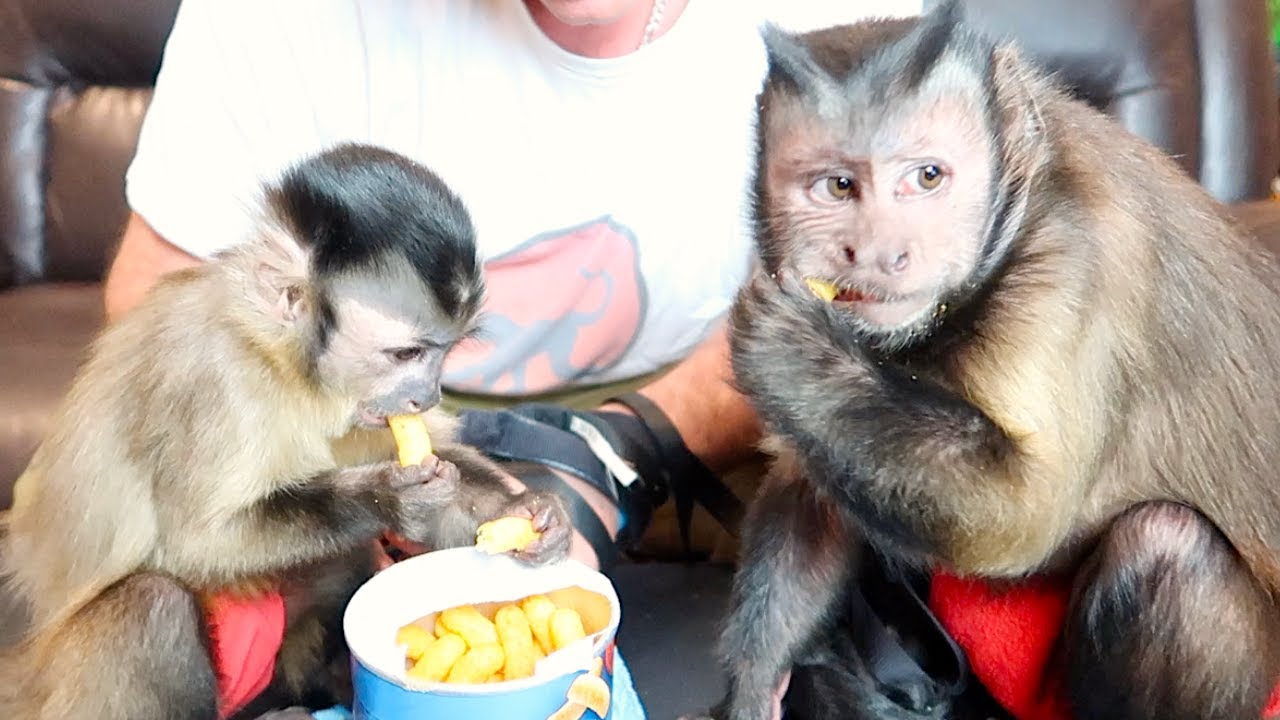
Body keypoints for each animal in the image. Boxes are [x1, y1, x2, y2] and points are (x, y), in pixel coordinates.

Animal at [0, 142, 571, 720]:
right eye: (407, 354)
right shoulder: (217, 379)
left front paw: (530, 512)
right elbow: (197, 546)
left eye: (446, 353)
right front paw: (386, 498)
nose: (427, 394)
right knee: (152, 607)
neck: (285, 366)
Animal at [693, 5, 1280, 720]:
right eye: (838, 186)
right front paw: (752, 686)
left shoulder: (1076, 262)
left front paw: (794, 351)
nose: (880, 252)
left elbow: (1022, 519)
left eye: (927, 177)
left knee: (1167, 545)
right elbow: (809, 494)